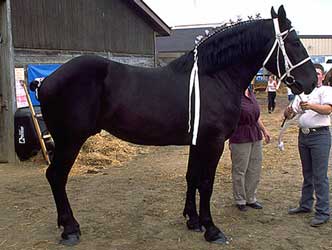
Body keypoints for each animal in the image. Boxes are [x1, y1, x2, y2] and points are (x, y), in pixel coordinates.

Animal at [35, 5, 318, 246]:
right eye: (294, 41)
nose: (312, 82)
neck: (213, 77)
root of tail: (46, 80)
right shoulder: (213, 143)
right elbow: (206, 182)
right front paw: (211, 229)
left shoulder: (197, 142)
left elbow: (191, 177)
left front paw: (192, 220)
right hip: (70, 141)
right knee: (56, 176)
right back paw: (70, 229)